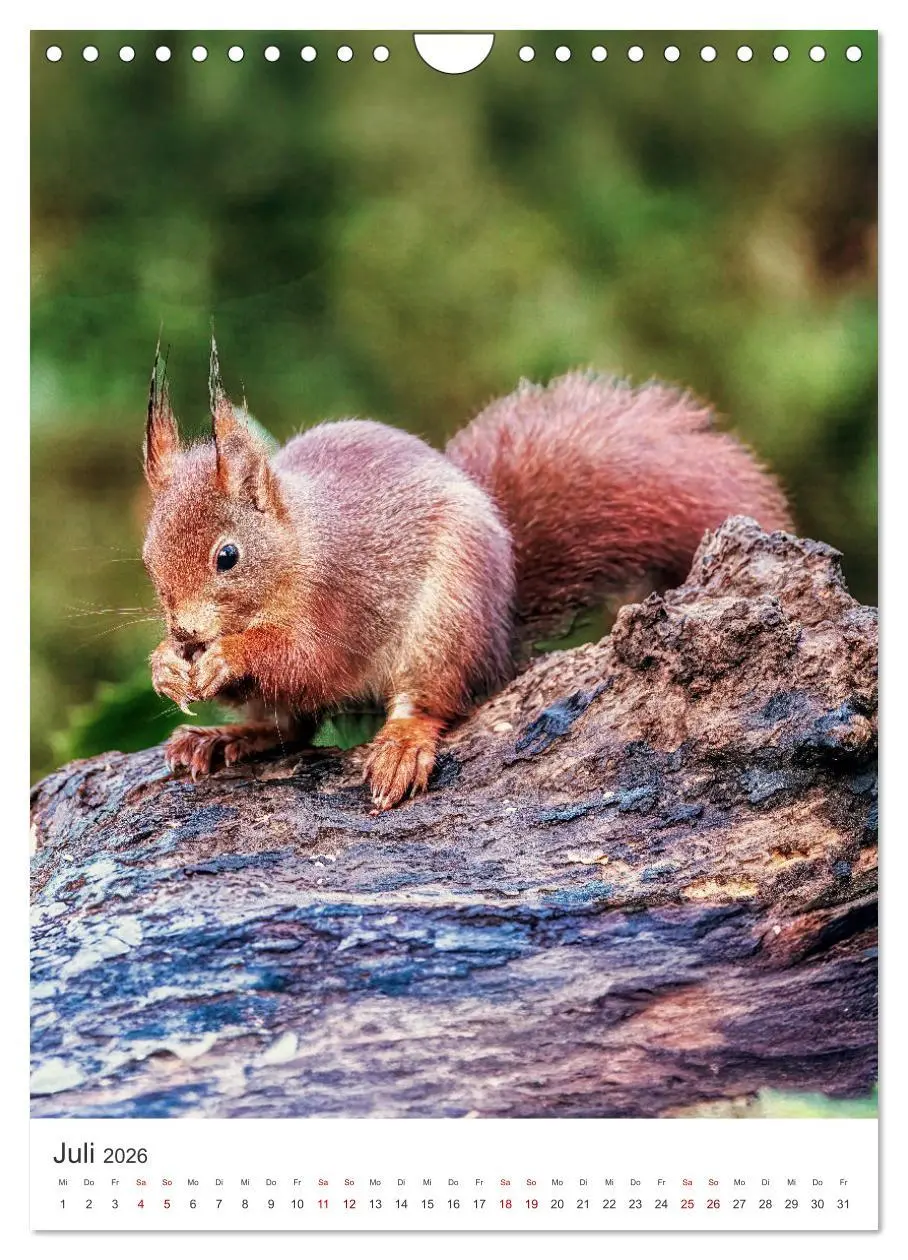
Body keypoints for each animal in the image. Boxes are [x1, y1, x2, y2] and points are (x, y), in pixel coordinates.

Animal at [142, 342, 793, 810]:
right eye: (148, 558)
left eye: (227, 556)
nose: (185, 633)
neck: (296, 548)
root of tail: (500, 632)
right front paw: (166, 666)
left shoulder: (341, 597)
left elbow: (306, 659)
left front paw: (230, 655)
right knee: (288, 728)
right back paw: (223, 738)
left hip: (446, 625)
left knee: (425, 703)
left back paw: (402, 745)